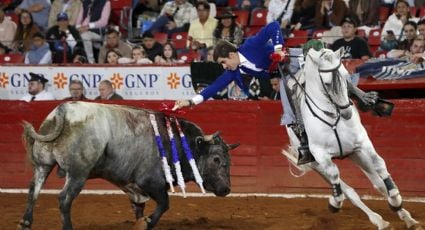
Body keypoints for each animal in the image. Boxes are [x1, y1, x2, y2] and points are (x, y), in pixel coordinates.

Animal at [19, 102, 238, 230]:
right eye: (216, 159)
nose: (226, 189)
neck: (176, 141)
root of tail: (63, 111)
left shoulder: (134, 186)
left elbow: (139, 207)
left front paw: (140, 221)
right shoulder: (152, 182)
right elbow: (164, 204)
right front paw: (147, 223)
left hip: (43, 165)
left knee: (33, 189)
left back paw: (26, 222)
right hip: (78, 173)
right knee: (64, 198)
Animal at [284, 47, 422, 229]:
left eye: (346, 77)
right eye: (327, 84)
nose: (347, 113)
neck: (333, 117)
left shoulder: (362, 144)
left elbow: (379, 164)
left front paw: (396, 199)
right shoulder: (320, 155)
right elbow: (336, 176)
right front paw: (334, 203)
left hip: (355, 154)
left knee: (378, 183)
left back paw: (407, 218)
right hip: (315, 164)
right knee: (349, 191)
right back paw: (379, 221)